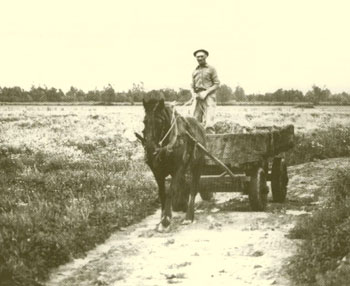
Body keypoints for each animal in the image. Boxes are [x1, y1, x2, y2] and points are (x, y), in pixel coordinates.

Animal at [136, 96, 208, 230]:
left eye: (159, 121)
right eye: (144, 121)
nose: (150, 149)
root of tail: (199, 125)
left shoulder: (178, 168)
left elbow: (171, 191)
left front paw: (166, 219)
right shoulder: (157, 171)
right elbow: (162, 193)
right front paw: (162, 217)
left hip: (197, 165)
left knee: (193, 188)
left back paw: (189, 216)